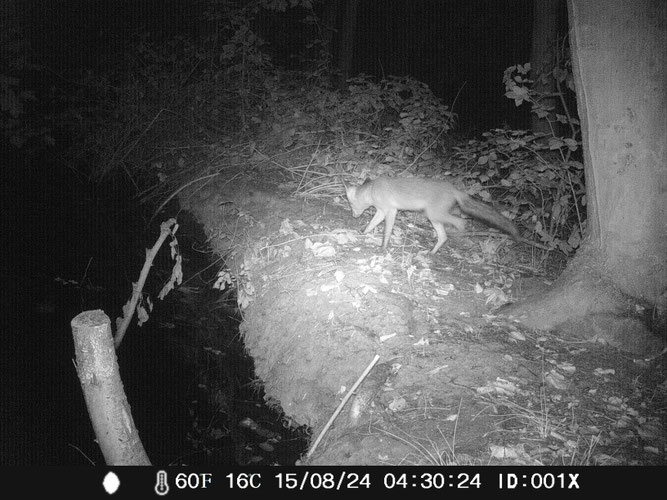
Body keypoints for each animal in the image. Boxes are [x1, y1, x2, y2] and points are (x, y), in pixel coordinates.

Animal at [344, 176, 520, 254]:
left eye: (351, 204)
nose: (353, 216)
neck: (373, 190)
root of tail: (453, 189)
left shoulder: (391, 211)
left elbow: (386, 232)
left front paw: (383, 247)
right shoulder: (381, 211)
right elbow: (371, 224)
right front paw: (363, 232)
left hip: (434, 214)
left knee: (460, 222)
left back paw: (461, 236)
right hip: (434, 217)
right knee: (443, 237)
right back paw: (432, 252)